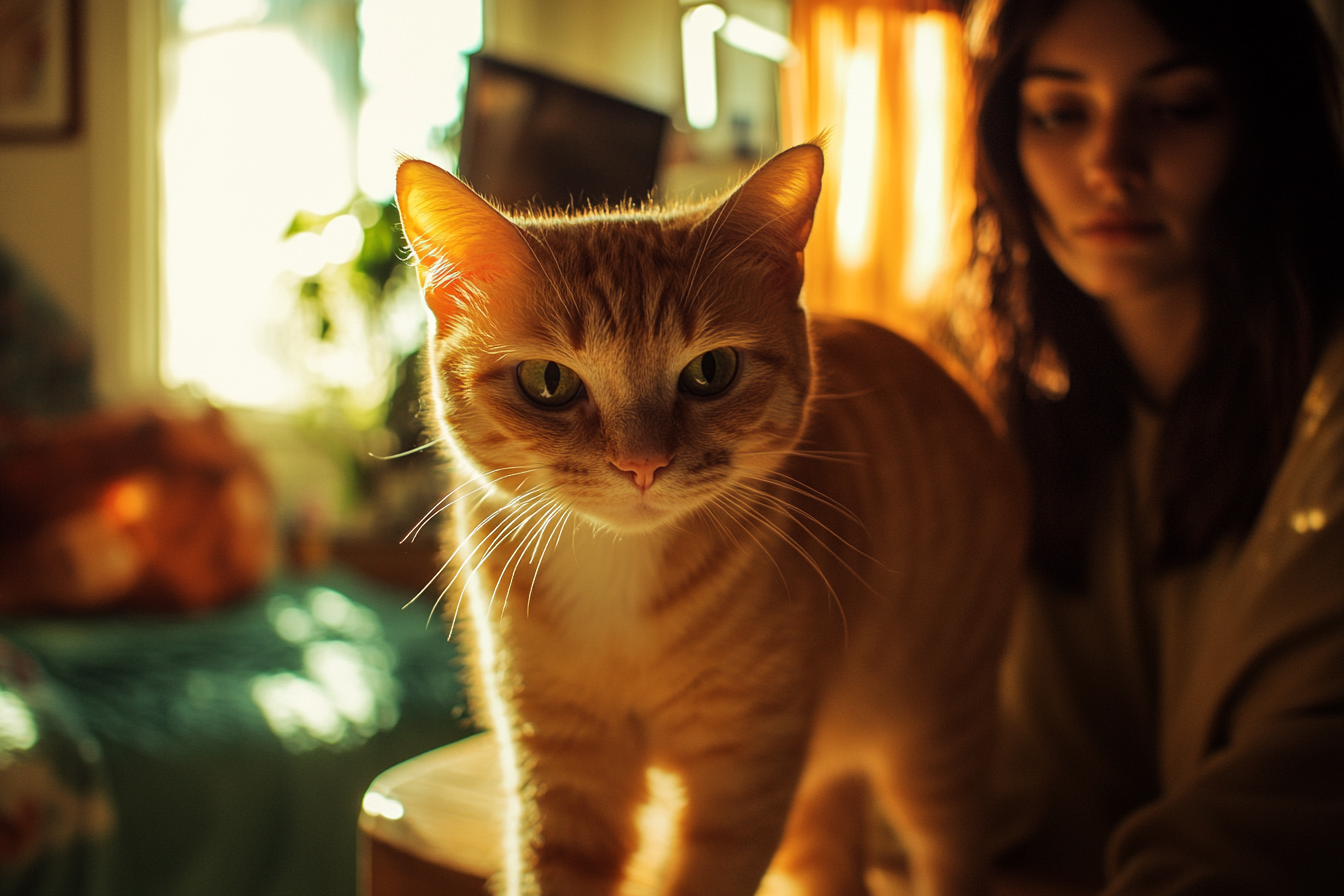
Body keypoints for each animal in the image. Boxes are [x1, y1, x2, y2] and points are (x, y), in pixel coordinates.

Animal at [392, 145, 1021, 896]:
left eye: (712, 371)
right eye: (548, 381)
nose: (641, 464)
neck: (619, 577)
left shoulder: (743, 777)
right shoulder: (559, 770)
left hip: (936, 739)